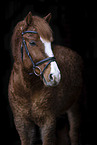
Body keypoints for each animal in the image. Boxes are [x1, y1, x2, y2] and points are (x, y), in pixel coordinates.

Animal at [8, 11, 83, 145]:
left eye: (50, 43)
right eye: (32, 42)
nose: (55, 76)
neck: (28, 89)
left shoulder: (48, 123)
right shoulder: (22, 123)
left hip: (76, 106)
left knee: (73, 133)